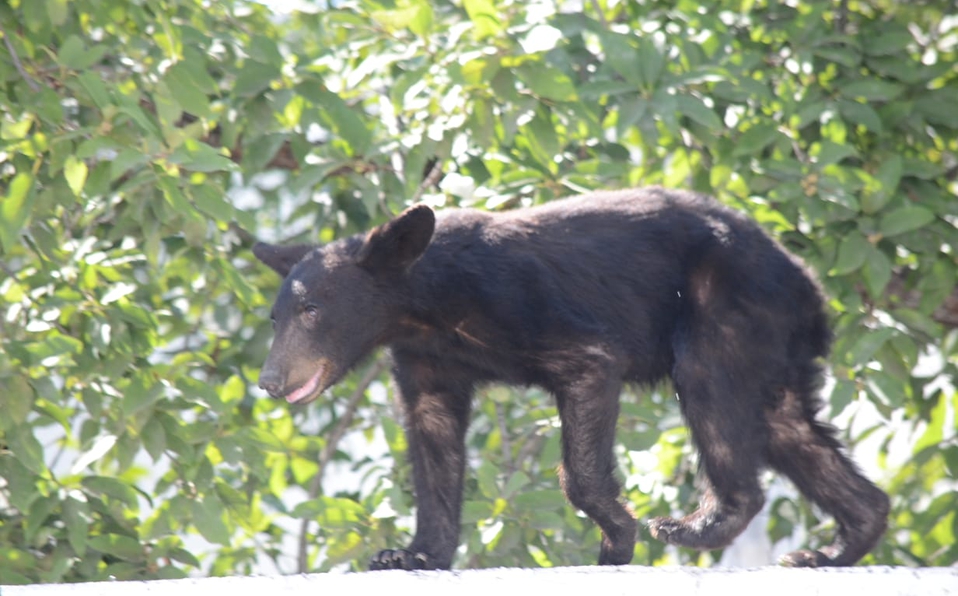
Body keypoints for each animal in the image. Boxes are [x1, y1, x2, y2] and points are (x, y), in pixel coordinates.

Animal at [251, 189, 888, 572]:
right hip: (774, 343)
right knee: (789, 426)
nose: (270, 380)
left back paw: (693, 525)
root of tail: (808, 281)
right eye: (276, 318)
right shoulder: (425, 361)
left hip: (729, 301)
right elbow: (432, 440)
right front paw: (413, 555)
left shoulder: (525, 306)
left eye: (312, 310)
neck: (424, 307)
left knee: (710, 383)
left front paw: (618, 537)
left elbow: (589, 378)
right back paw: (836, 546)